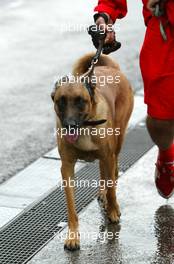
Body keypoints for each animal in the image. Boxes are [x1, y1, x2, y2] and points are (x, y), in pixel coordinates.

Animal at [51, 53, 134, 250]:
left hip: (117, 144)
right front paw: (73, 236)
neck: (86, 126)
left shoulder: (108, 156)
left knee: (113, 174)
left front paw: (113, 211)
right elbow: (71, 206)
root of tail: (110, 67)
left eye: (80, 101)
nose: (70, 126)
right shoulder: (67, 167)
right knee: (104, 174)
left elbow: (112, 187)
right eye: (60, 102)